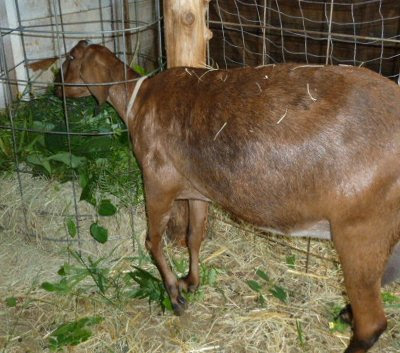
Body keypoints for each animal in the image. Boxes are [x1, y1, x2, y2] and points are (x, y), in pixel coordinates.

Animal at [57, 40, 400, 350]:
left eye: (70, 58)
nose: (56, 89)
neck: (138, 99)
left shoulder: (158, 180)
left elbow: (152, 241)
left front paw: (174, 294)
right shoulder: (196, 189)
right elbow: (194, 236)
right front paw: (191, 281)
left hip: (359, 228)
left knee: (372, 323)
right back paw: (346, 313)